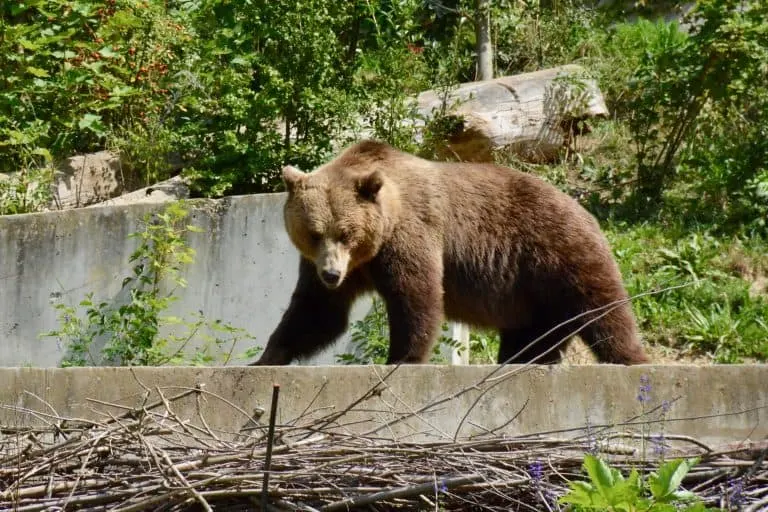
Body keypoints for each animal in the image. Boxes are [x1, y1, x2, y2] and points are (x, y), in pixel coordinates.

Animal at [252, 138, 648, 366]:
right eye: (315, 233)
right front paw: (268, 356)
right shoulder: (338, 267)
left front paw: (402, 357)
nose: (332, 274)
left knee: (603, 309)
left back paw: (631, 359)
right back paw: (523, 362)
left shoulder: (409, 234)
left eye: (346, 233)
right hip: (531, 291)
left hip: (557, 252)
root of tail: (584, 208)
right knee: (534, 333)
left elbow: (416, 294)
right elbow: (317, 311)